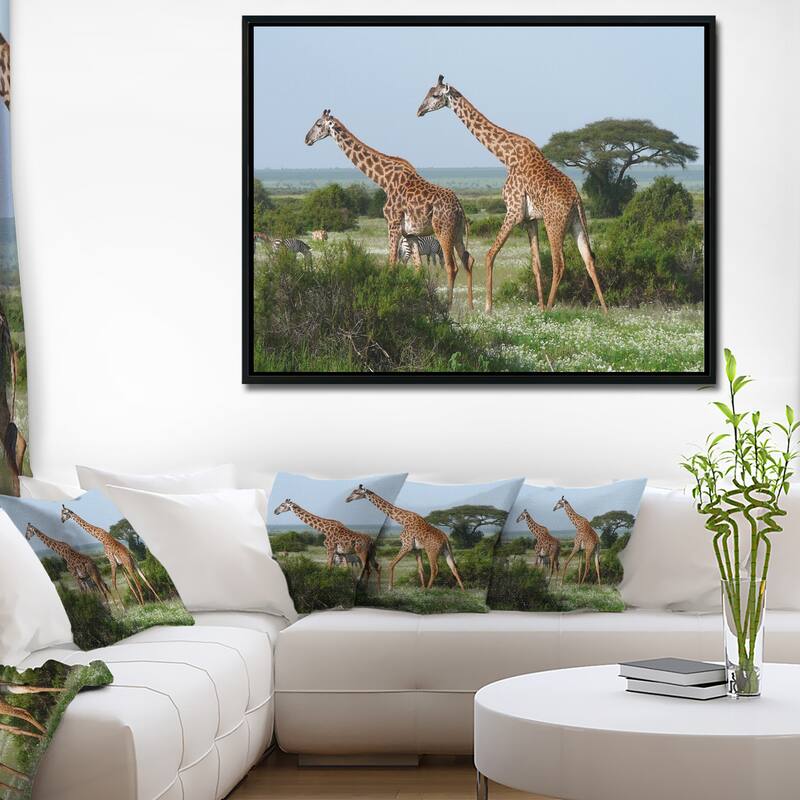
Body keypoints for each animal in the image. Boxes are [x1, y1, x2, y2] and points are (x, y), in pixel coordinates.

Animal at [304, 110, 475, 308]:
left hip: (443, 231)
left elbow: (392, 264)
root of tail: (460, 207)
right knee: (468, 260)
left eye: (318, 124)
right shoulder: (411, 233)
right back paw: (470, 307)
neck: (383, 180)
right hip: (457, 232)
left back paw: (448, 306)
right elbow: (418, 269)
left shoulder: (392, 224)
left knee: (451, 266)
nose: (307, 139)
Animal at [417, 75, 607, 314]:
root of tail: (576, 199)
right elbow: (536, 264)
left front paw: (488, 308)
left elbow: (490, 254)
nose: (420, 110)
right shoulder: (530, 219)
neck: (505, 156)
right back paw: (605, 310)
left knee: (560, 263)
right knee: (588, 259)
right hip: (576, 223)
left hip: (555, 223)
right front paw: (539, 307)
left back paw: (551, 308)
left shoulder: (514, 211)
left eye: (435, 95)